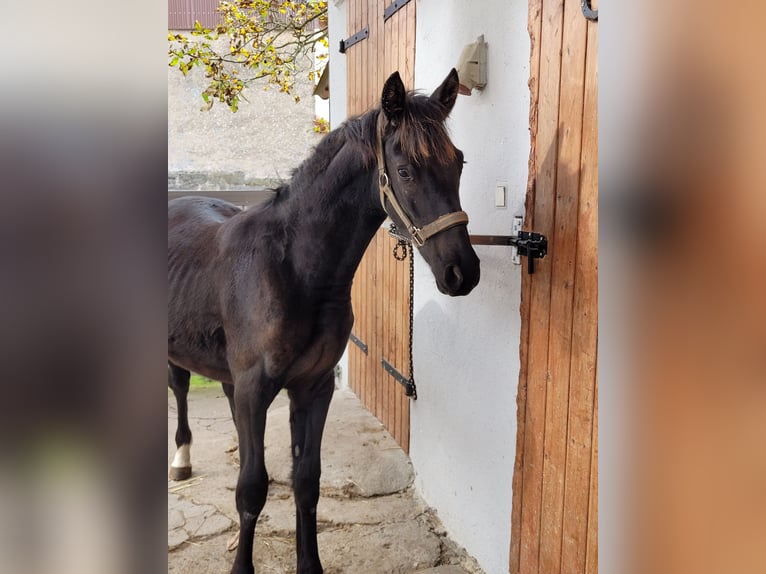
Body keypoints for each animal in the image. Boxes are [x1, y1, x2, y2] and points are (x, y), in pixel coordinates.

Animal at [168, 70, 480, 572]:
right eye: (406, 170)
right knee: (179, 386)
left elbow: (306, 482)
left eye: (459, 163)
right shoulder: (256, 387)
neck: (295, 269)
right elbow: (250, 490)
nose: (462, 272)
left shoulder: (313, 387)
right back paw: (180, 459)